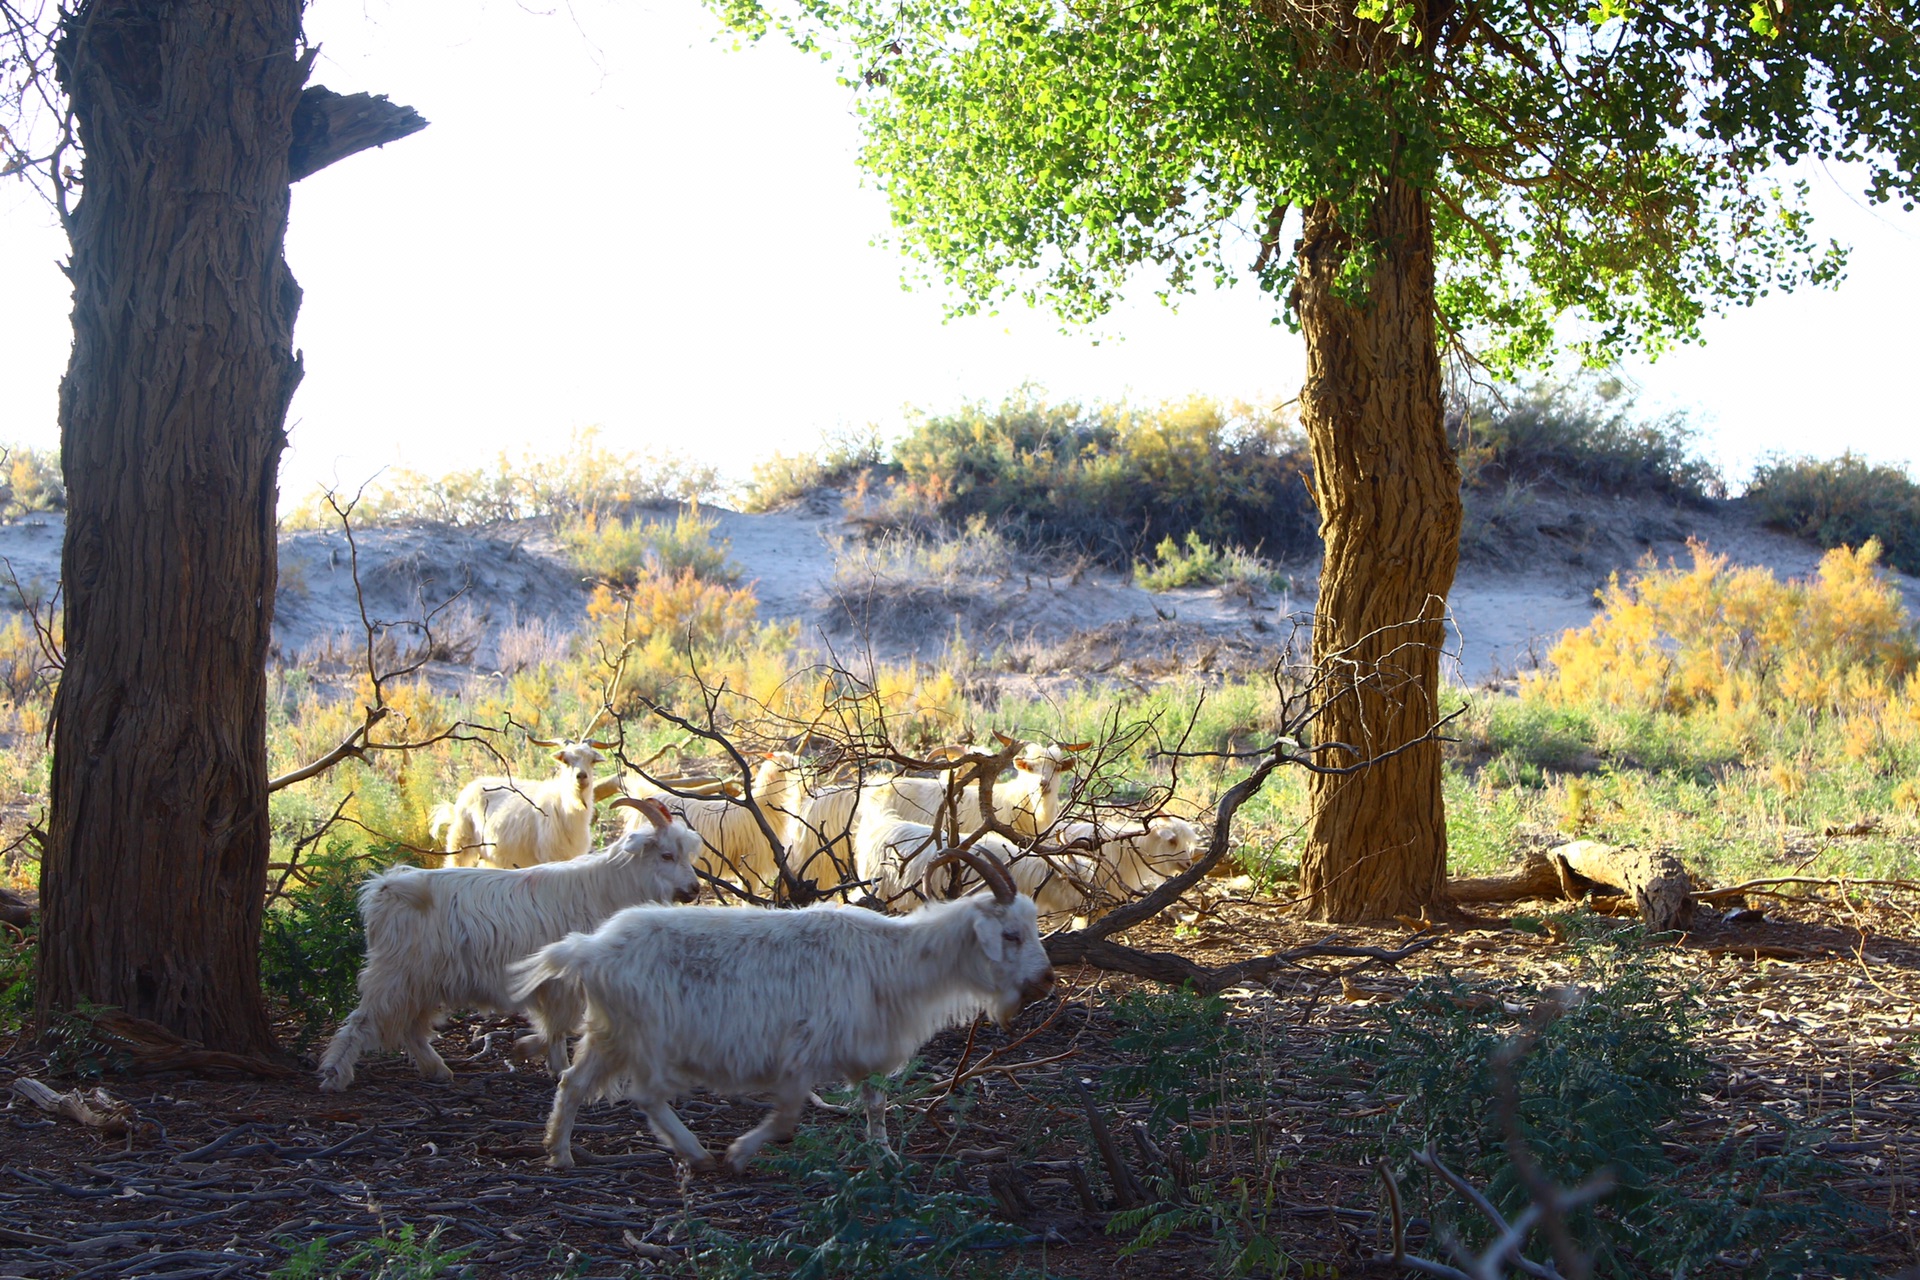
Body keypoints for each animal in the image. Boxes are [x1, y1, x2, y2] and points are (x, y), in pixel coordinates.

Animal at [318, 802, 702, 1090]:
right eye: (666, 855)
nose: (694, 890)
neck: (606, 886)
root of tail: (385, 888)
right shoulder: (561, 980)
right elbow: (559, 1025)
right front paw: (537, 1057)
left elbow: (556, 1026)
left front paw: (543, 1059)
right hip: (396, 972)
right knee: (363, 1020)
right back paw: (334, 1076)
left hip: (423, 978)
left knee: (411, 1026)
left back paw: (437, 1070)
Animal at [432, 740, 610, 871]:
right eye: (566, 760)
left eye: (592, 760)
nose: (581, 776)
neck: (564, 809)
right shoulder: (549, 857)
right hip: (460, 844)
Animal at [506, 852, 1052, 1174]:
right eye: (1010, 935)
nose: (1047, 980)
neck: (892, 958)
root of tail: (589, 949)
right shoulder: (801, 1052)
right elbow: (788, 1116)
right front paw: (739, 1153)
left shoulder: (864, 1048)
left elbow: (875, 1103)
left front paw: (884, 1154)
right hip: (648, 1037)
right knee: (648, 1096)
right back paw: (698, 1153)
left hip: (609, 1033)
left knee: (573, 1083)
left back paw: (560, 1154)